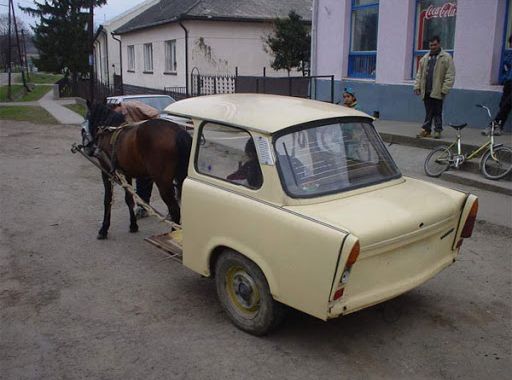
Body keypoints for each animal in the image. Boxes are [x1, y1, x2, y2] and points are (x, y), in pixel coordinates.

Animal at [87, 102, 193, 239]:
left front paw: (104, 229)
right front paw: (133, 225)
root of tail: (177, 131)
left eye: (88, 117)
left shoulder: (106, 171)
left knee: (175, 210)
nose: (90, 149)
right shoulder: (125, 174)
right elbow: (129, 199)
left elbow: (108, 200)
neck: (109, 131)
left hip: (163, 182)